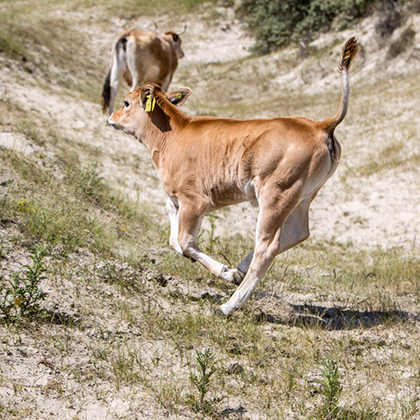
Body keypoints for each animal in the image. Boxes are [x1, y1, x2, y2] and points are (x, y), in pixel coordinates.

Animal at [106, 38, 360, 316]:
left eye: (126, 103)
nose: (111, 117)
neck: (172, 135)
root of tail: (318, 125)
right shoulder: (174, 198)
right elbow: (174, 239)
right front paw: (231, 271)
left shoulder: (195, 200)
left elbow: (185, 242)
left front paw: (225, 272)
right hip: (303, 196)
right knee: (298, 232)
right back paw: (241, 268)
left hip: (277, 193)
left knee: (268, 247)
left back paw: (229, 305)